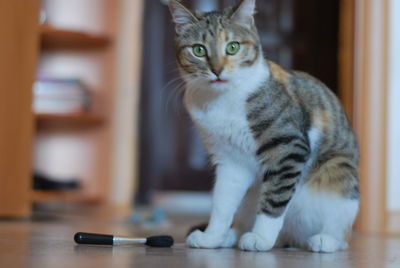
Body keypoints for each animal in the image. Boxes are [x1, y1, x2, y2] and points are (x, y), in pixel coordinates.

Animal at [168, 0, 360, 252]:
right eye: (199, 50)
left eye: (232, 47)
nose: (217, 70)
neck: (222, 101)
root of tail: (290, 238)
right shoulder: (229, 159)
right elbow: (222, 204)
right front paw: (212, 236)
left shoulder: (288, 147)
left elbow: (275, 196)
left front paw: (260, 238)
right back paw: (230, 236)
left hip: (339, 175)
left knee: (341, 230)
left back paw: (325, 239)